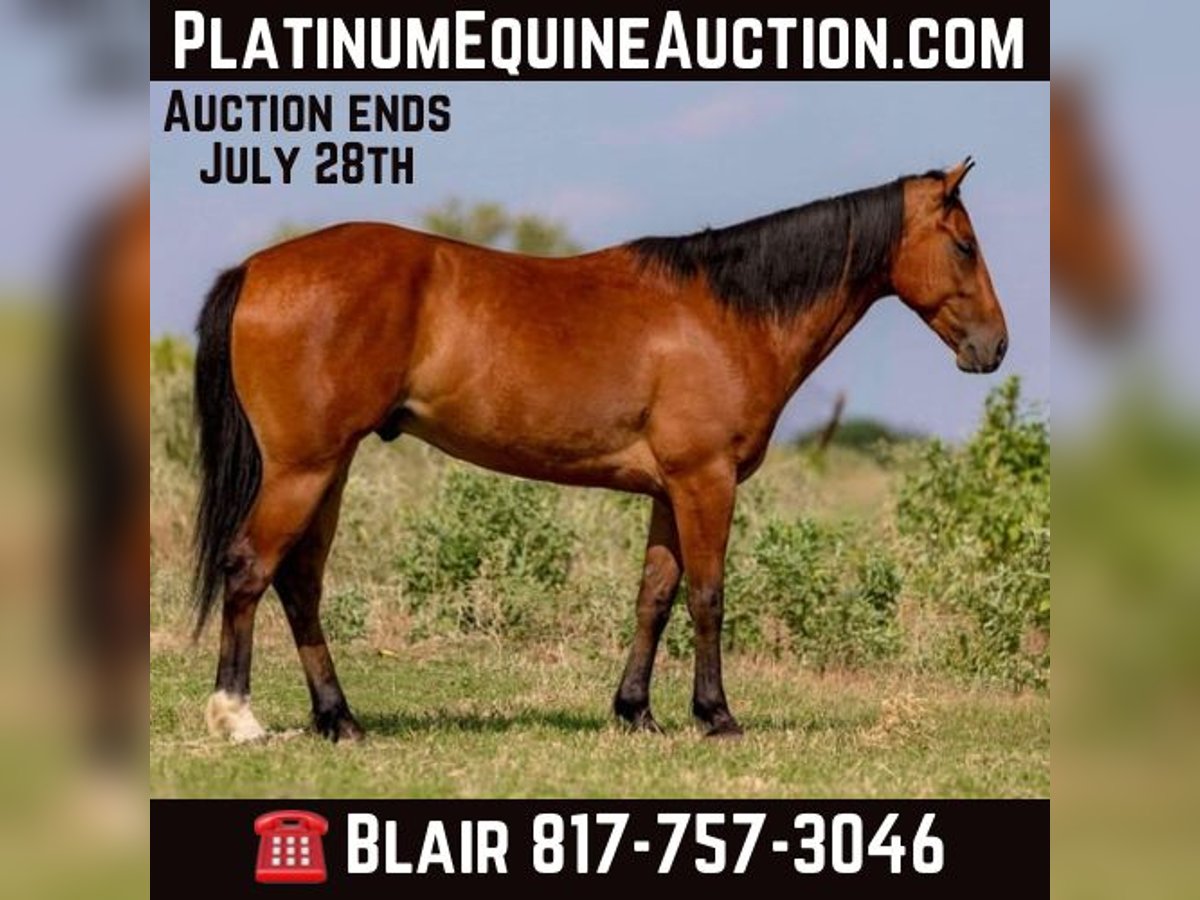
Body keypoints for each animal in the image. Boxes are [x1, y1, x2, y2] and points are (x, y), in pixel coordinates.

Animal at [193, 159, 1007, 742]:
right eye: (964, 245)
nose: (994, 347)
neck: (725, 313)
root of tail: (258, 269)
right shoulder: (705, 481)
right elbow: (708, 596)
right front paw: (717, 716)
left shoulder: (668, 491)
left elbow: (654, 597)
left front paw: (636, 711)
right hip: (303, 470)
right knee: (250, 568)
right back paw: (238, 717)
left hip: (329, 469)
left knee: (299, 583)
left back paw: (340, 719)